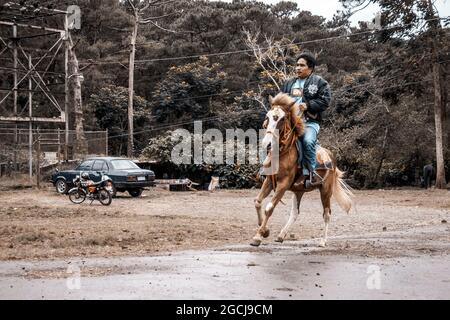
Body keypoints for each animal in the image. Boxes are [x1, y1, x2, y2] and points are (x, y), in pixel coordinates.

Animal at [251, 92, 354, 248]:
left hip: (325, 190)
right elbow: (258, 202)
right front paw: (264, 231)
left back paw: (322, 241)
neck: (283, 152)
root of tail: (331, 156)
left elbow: (269, 207)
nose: (267, 144)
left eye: (281, 119)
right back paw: (281, 235)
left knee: (327, 213)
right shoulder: (269, 181)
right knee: (295, 213)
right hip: (298, 191)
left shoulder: (283, 184)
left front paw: (259, 236)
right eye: (267, 116)